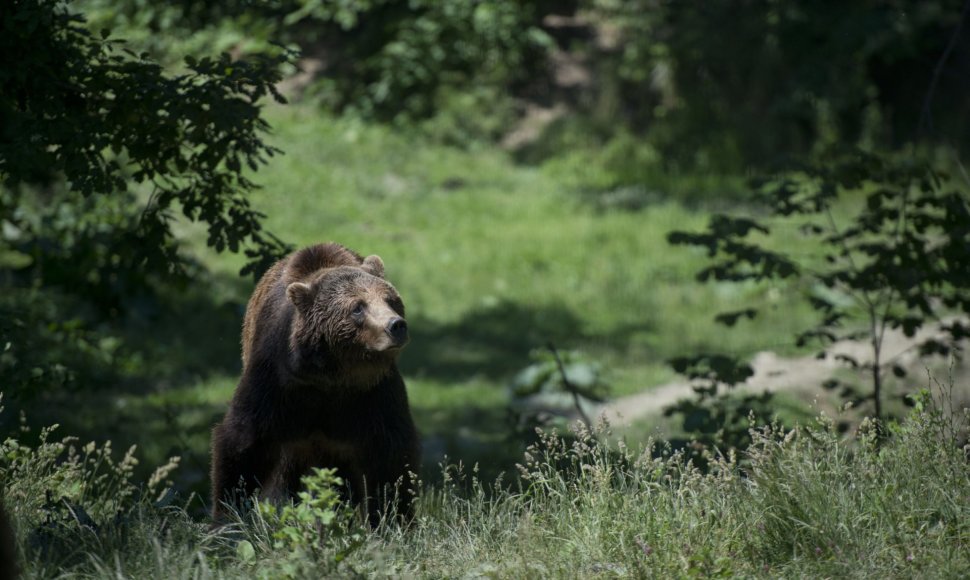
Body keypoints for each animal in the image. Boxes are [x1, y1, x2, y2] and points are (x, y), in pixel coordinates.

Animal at [210, 242, 418, 524]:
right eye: (358, 307)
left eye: (390, 299)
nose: (395, 325)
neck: (331, 376)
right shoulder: (278, 382)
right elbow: (243, 440)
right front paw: (228, 514)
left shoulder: (372, 393)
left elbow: (392, 453)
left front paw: (393, 516)